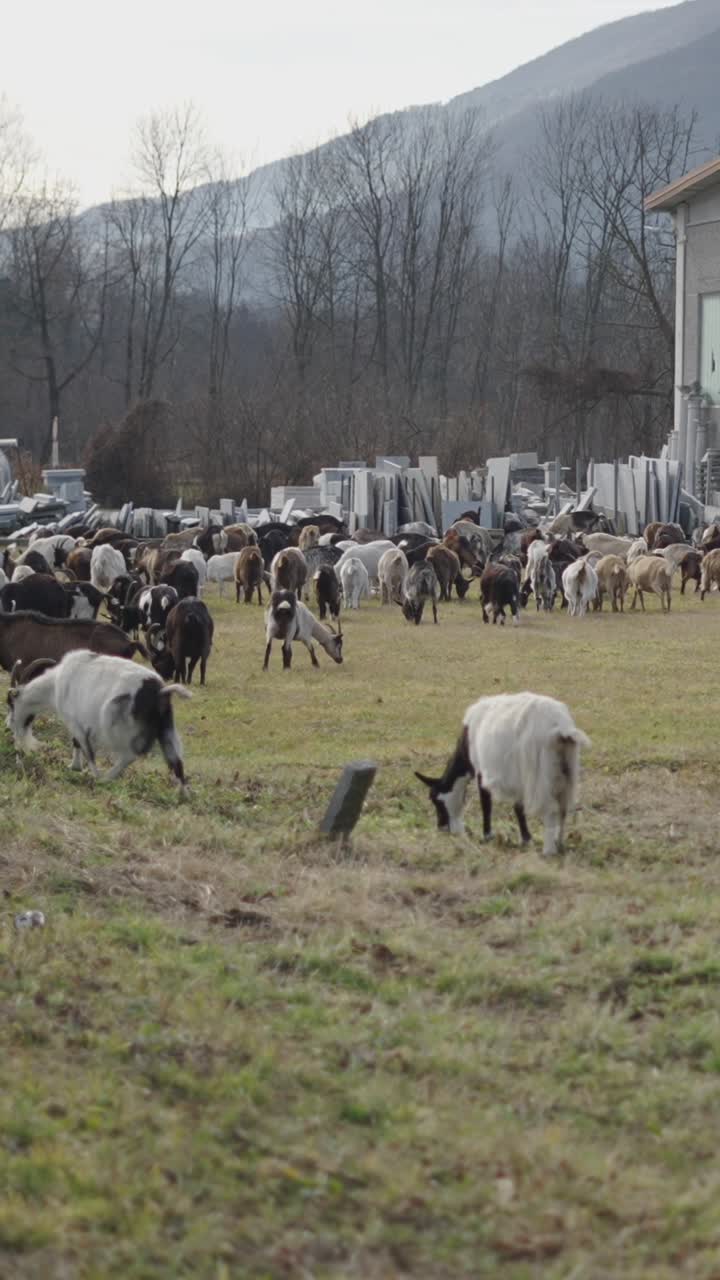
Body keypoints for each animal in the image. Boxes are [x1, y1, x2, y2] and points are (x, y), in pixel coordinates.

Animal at [6, 650, 189, 787]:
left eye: (11, 703)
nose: (8, 725)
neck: (56, 684)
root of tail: (160, 691)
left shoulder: (74, 721)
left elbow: (86, 750)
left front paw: (87, 772)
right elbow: (78, 744)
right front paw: (75, 767)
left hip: (114, 726)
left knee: (129, 755)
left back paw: (105, 779)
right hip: (166, 729)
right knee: (176, 762)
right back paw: (182, 795)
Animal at [415, 692, 590, 855]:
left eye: (435, 799)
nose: (442, 828)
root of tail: (560, 728)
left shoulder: (482, 771)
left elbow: (487, 803)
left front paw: (488, 836)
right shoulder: (518, 779)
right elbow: (518, 807)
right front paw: (526, 839)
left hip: (540, 774)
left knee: (550, 809)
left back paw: (548, 850)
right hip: (567, 769)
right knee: (563, 808)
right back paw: (559, 843)